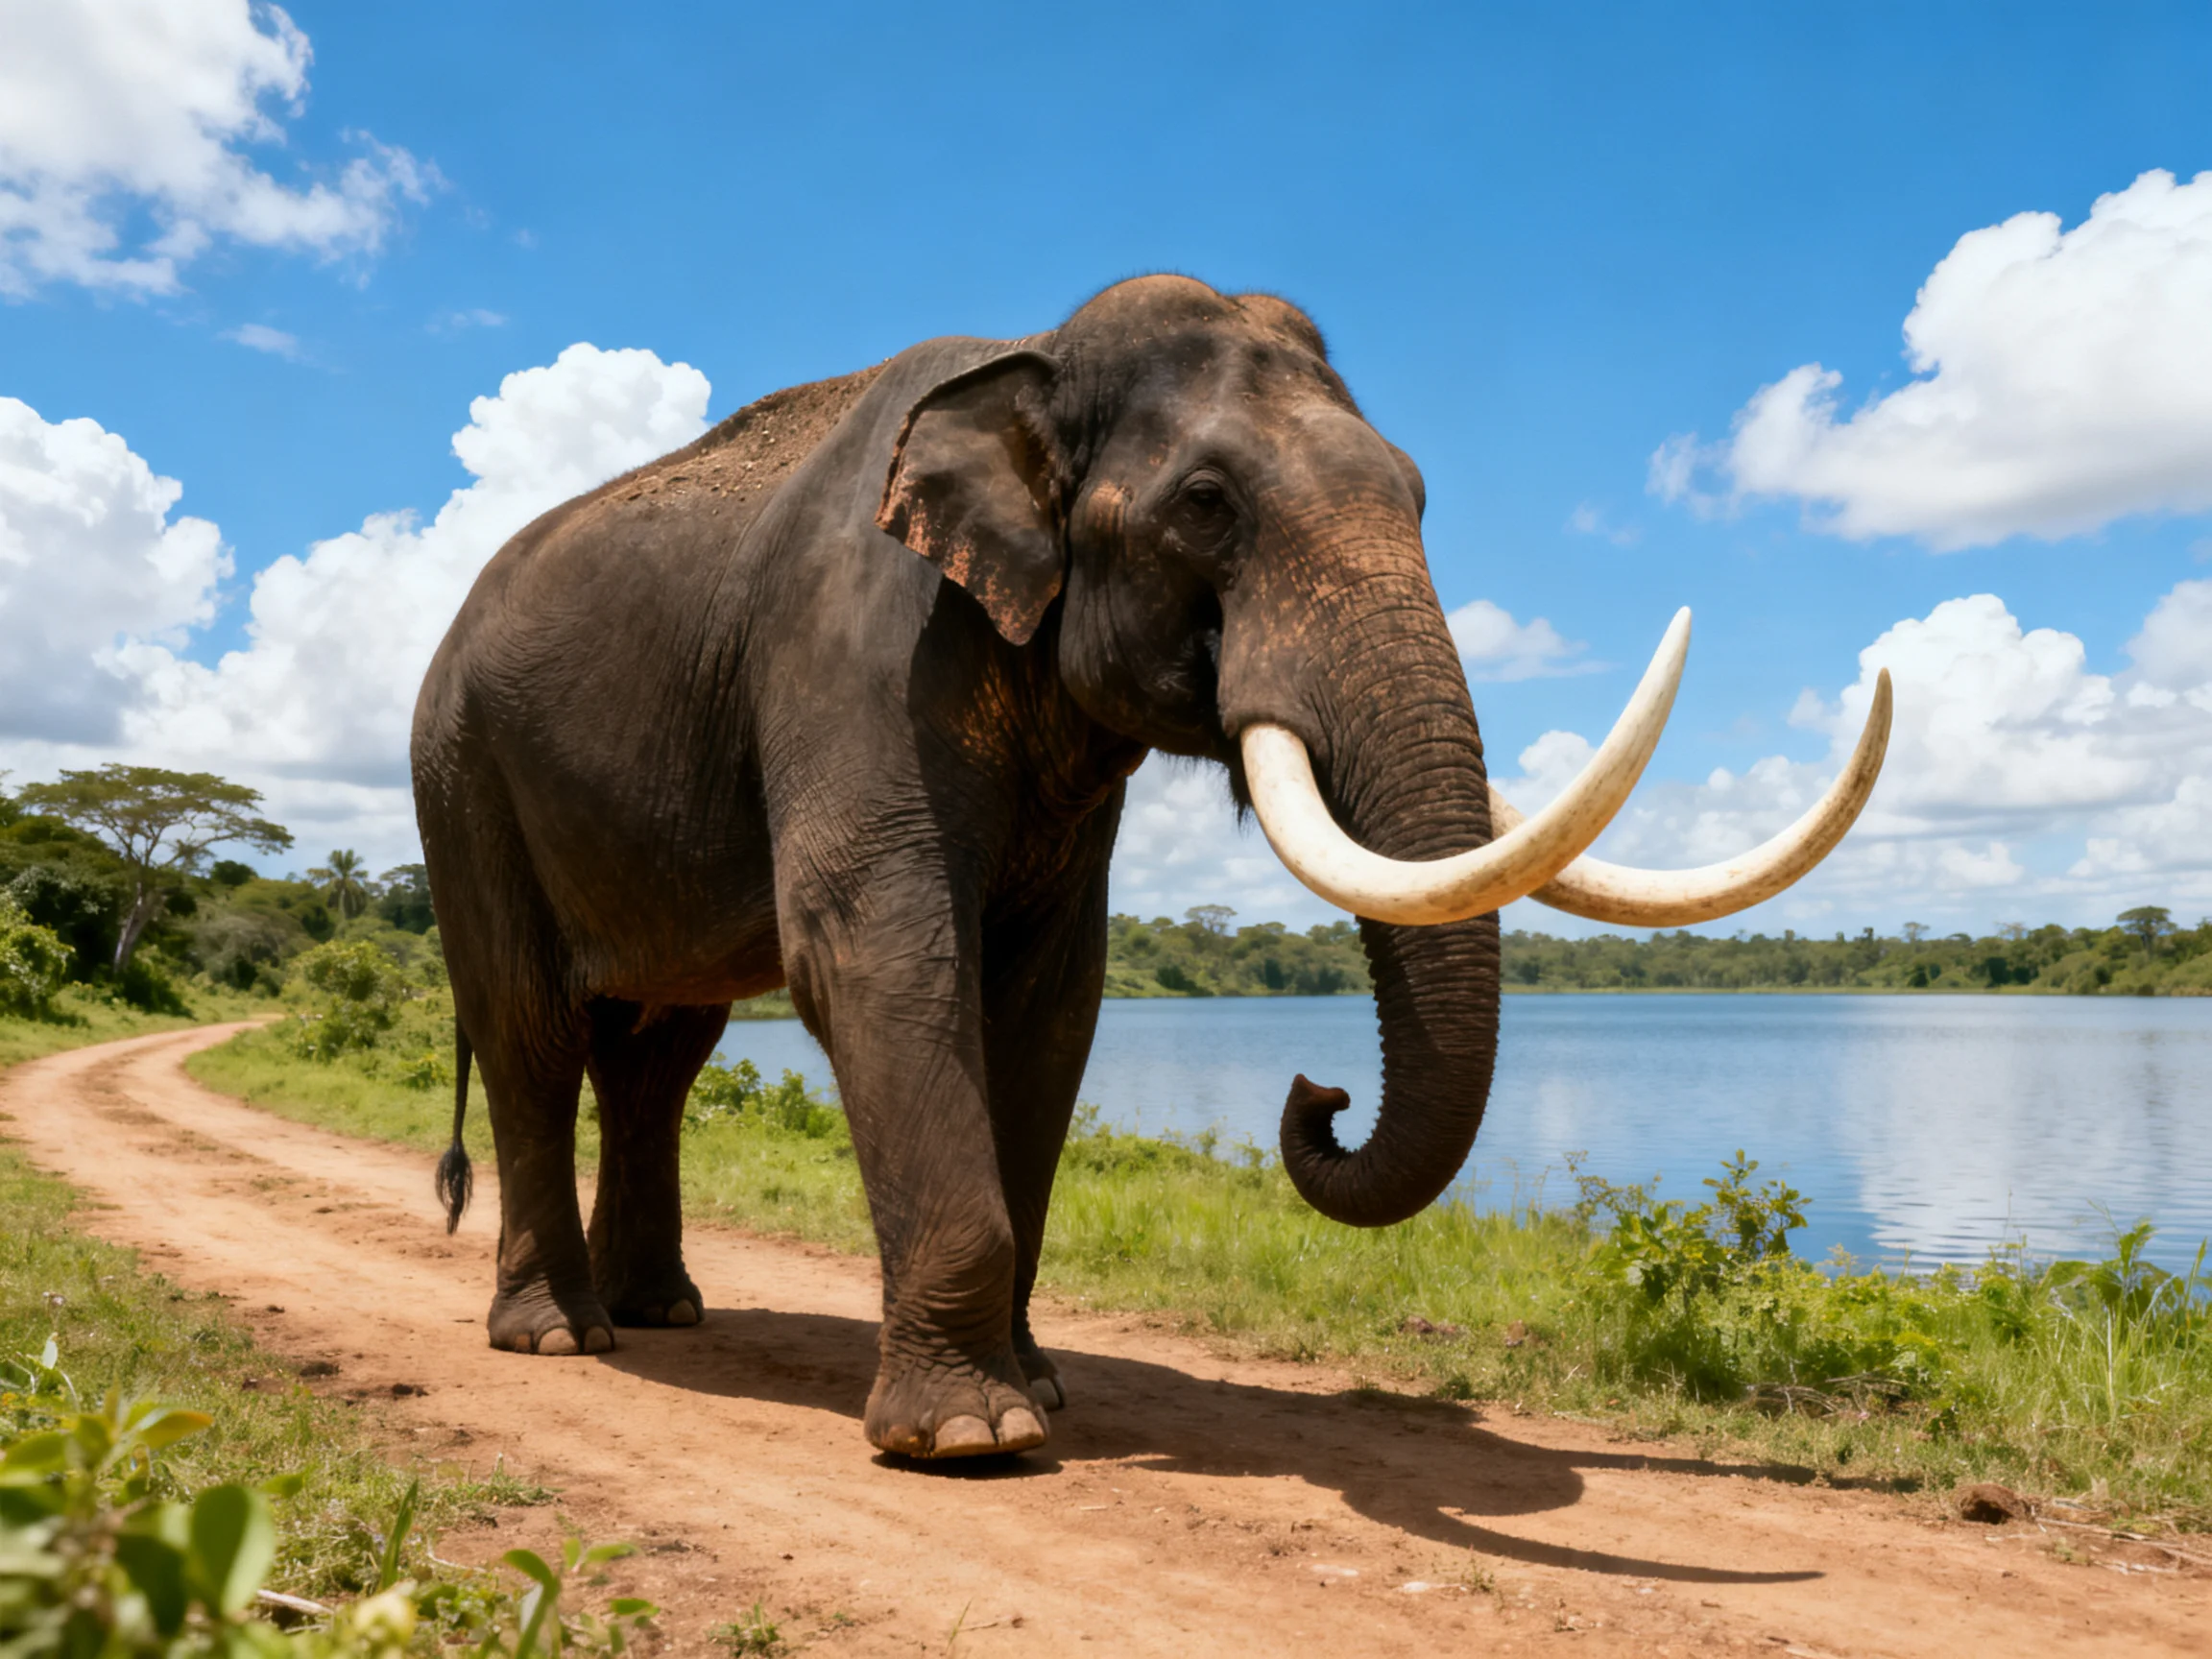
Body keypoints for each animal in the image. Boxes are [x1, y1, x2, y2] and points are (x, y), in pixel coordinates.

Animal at [412, 275, 1889, 1460]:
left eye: (1418, 494)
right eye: (1207, 505)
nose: (1319, 1092)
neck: (1032, 359)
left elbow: (1049, 1002)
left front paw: (1042, 1389)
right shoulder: (851, 652)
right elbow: (877, 954)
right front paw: (975, 1438)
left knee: (661, 1052)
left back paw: (662, 1313)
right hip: (459, 771)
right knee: (534, 1029)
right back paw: (561, 1337)